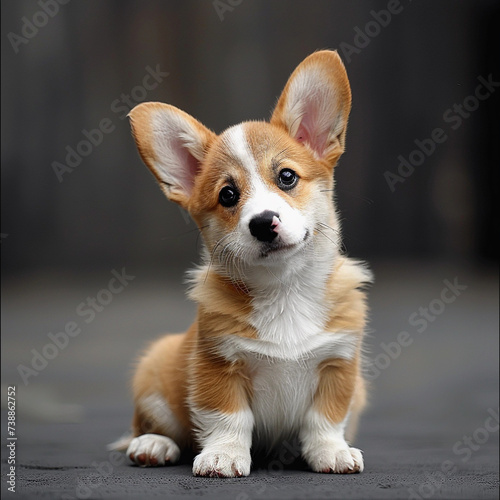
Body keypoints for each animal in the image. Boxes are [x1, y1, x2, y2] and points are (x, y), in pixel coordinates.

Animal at [120, 49, 372, 476]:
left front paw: (331, 452)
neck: (283, 290)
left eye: (286, 177)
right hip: (156, 373)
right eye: (227, 195)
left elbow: (324, 419)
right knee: (154, 427)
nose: (263, 223)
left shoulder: (339, 363)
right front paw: (223, 455)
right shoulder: (218, 363)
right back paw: (153, 444)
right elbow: (229, 418)